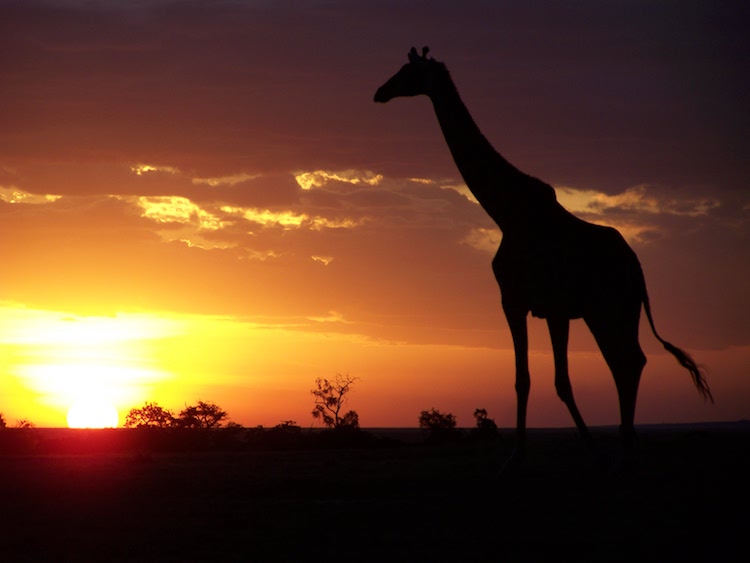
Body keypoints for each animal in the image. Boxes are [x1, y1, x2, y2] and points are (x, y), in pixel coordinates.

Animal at [374, 46, 712, 464]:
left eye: (407, 72)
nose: (380, 92)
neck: (506, 211)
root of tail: (638, 268)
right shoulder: (546, 308)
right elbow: (548, 379)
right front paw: (576, 444)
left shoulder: (521, 302)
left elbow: (537, 380)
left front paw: (524, 452)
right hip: (611, 311)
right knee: (629, 360)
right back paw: (626, 441)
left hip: (611, 309)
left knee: (627, 361)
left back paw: (627, 442)